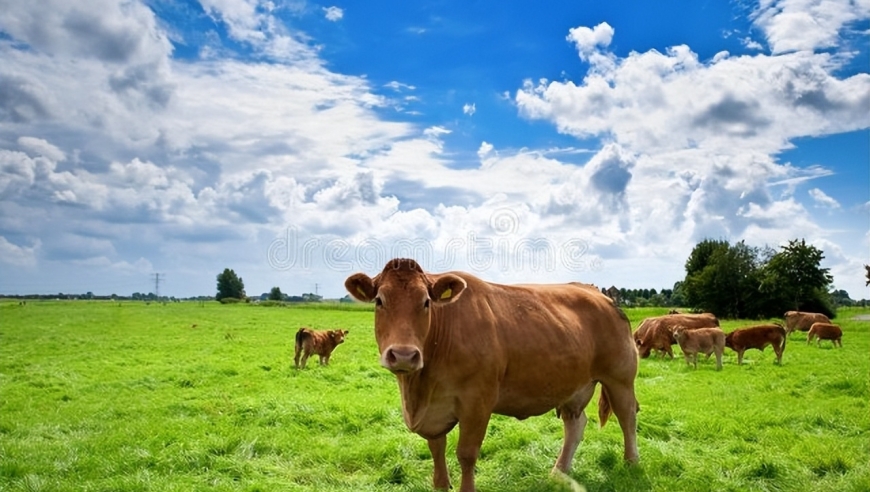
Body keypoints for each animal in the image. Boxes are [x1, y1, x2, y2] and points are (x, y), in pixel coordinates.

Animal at [346, 260, 640, 490]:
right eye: (379, 301)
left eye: (426, 302)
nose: (404, 355)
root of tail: (600, 295)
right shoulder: (434, 412)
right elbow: (436, 450)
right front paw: (441, 484)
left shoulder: (477, 401)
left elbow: (466, 454)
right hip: (574, 385)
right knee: (575, 425)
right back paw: (559, 472)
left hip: (620, 378)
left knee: (627, 417)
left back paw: (631, 463)